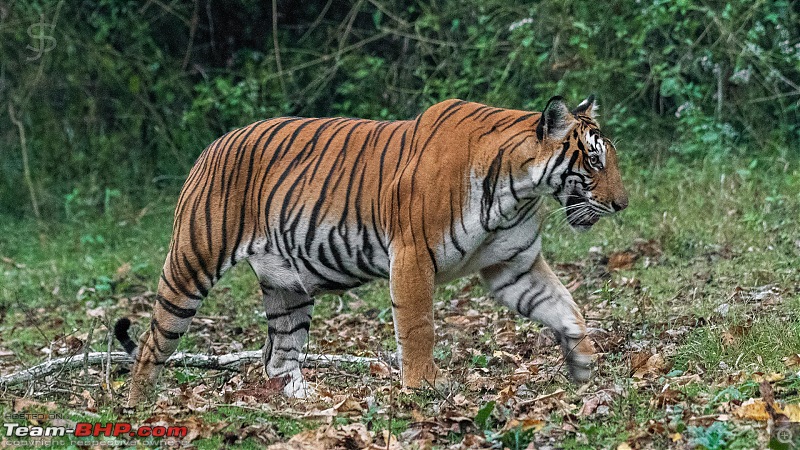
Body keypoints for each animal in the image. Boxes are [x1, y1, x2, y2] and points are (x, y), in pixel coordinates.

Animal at [114, 93, 624, 406]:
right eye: (595, 160)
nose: (622, 204)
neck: (518, 189)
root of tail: (210, 148)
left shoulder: (512, 266)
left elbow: (565, 308)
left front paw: (584, 366)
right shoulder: (414, 255)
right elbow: (418, 328)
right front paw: (423, 387)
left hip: (287, 288)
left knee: (279, 359)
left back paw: (309, 403)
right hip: (191, 263)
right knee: (152, 343)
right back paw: (138, 407)